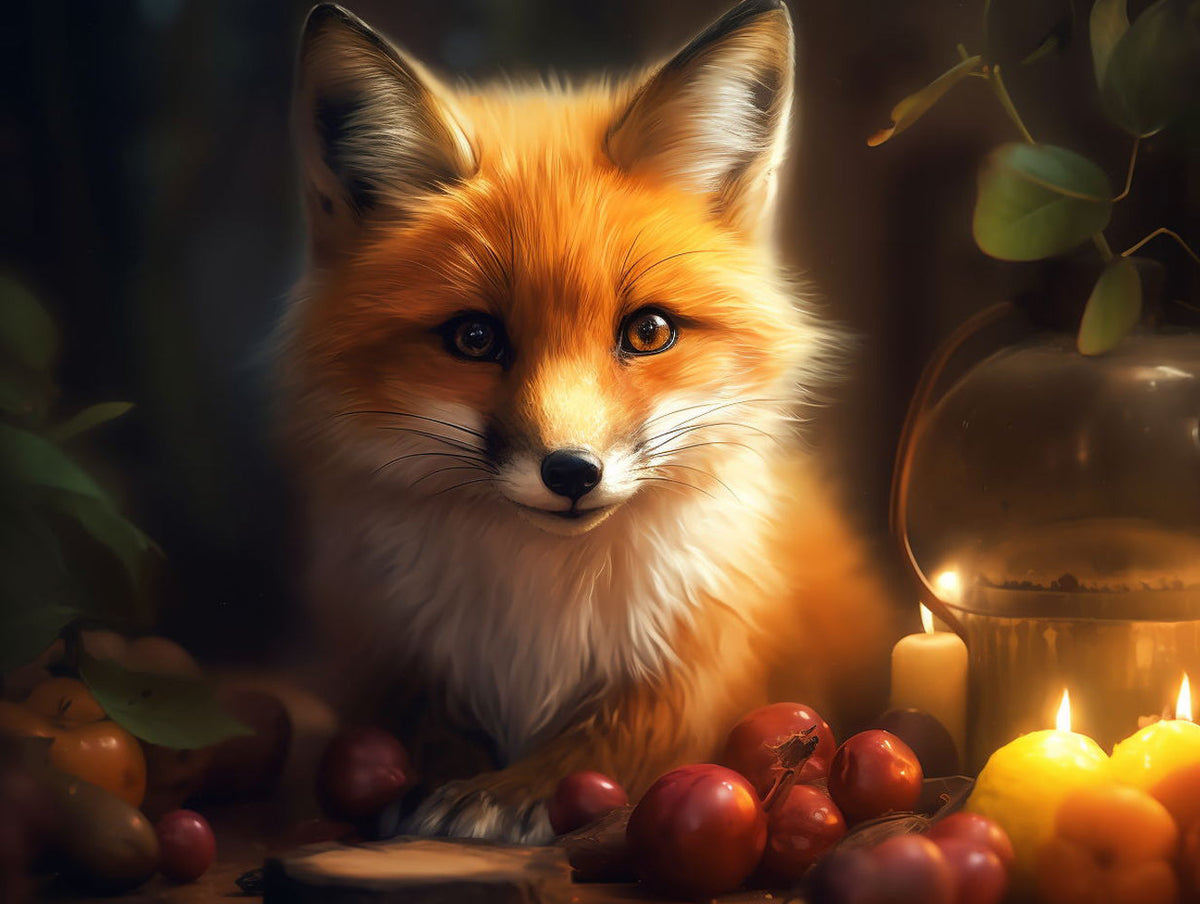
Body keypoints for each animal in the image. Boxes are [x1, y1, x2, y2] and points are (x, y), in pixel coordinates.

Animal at [278, 0, 896, 844]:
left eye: (649, 332)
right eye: (475, 338)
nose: (570, 472)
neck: (542, 609)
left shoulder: (703, 653)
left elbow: (626, 738)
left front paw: (512, 792)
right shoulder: (391, 651)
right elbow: (425, 727)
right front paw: (446, 780)